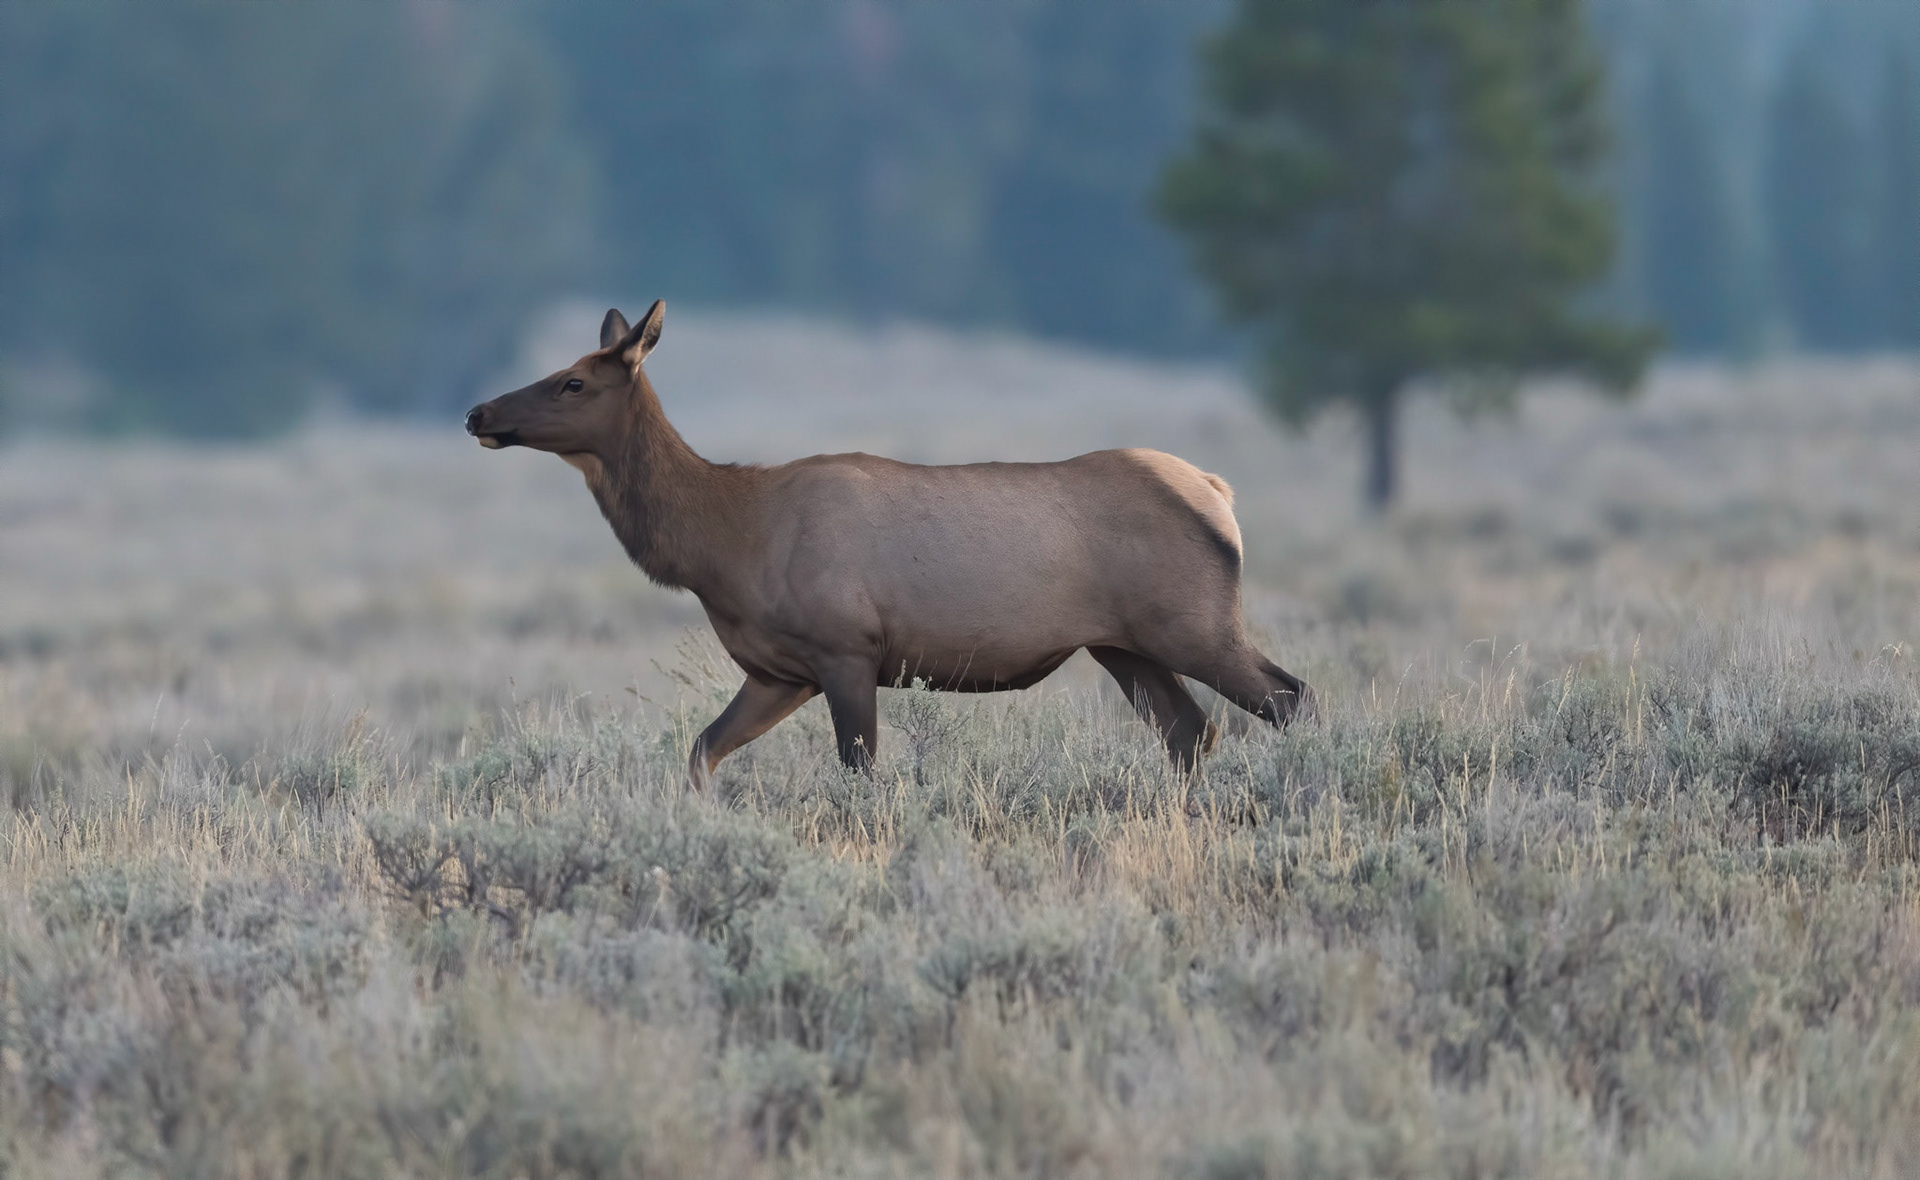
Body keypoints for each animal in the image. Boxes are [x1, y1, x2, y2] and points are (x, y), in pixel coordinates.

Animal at [465, 301, 1311, 788]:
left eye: (574, 381)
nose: (479, 412)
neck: (725, 543)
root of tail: (1218, 493)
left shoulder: (846, 647)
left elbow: (862, 774)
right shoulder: (780, 670)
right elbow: (701, 750)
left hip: (1194, 622)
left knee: (1288, 698)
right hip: (1125, 645)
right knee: (1192, 733)